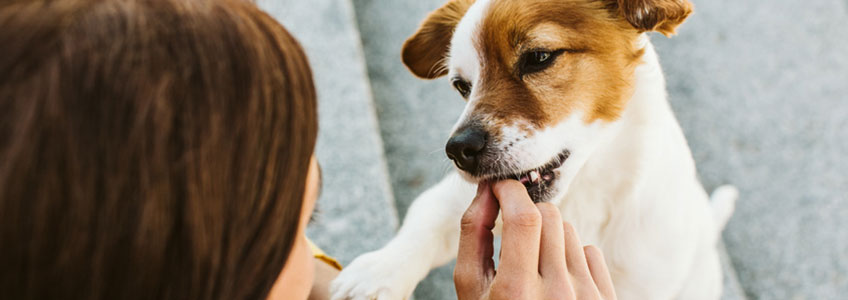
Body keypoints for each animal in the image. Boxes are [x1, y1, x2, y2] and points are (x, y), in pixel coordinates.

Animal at [328, 1, 740, 298]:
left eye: (539, 57)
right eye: (462, 86)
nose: (458, 149)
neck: (582, 194)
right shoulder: (458, 199)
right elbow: (426, 218)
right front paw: (378, 272)